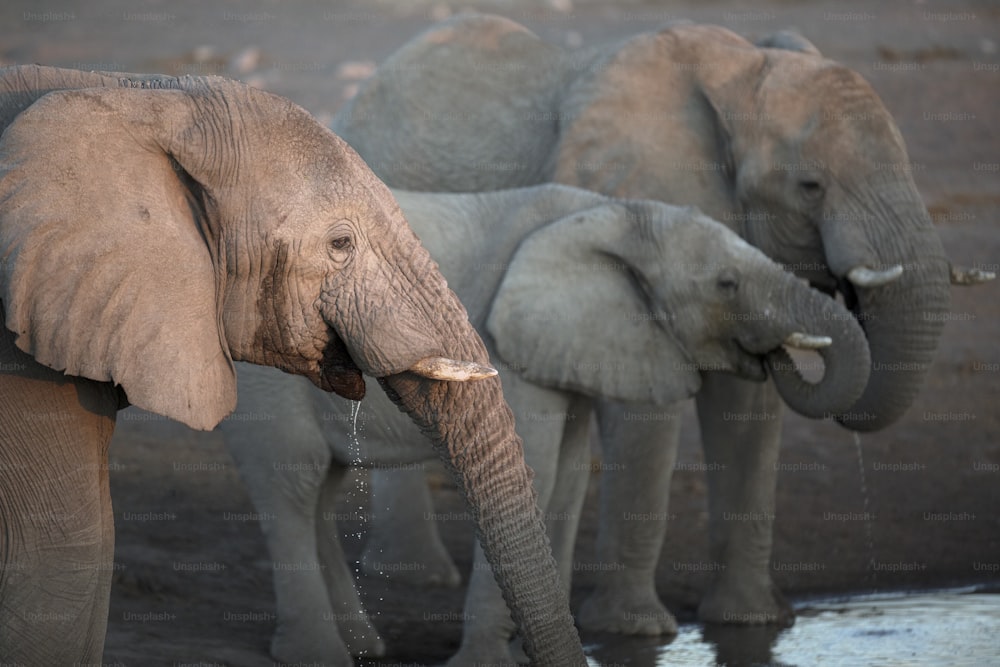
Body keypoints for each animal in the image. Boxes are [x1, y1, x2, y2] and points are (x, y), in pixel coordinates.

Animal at [221, 180, 876, 664]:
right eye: (726, 283)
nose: (773, 353)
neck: (610, 213)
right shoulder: (508, 348)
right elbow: (535, 469)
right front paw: (489, 664)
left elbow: (567, 479)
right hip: (266, 375)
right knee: (294, 481)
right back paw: (316, 654)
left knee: (321, 491)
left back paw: (364, 648)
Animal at [330, 10, 992, 656]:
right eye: (810, 187)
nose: (843, 290)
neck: (741, 73)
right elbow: (643, 419)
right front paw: (636, 632)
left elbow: (748, 414)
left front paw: (753, 623)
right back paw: (419, 576)